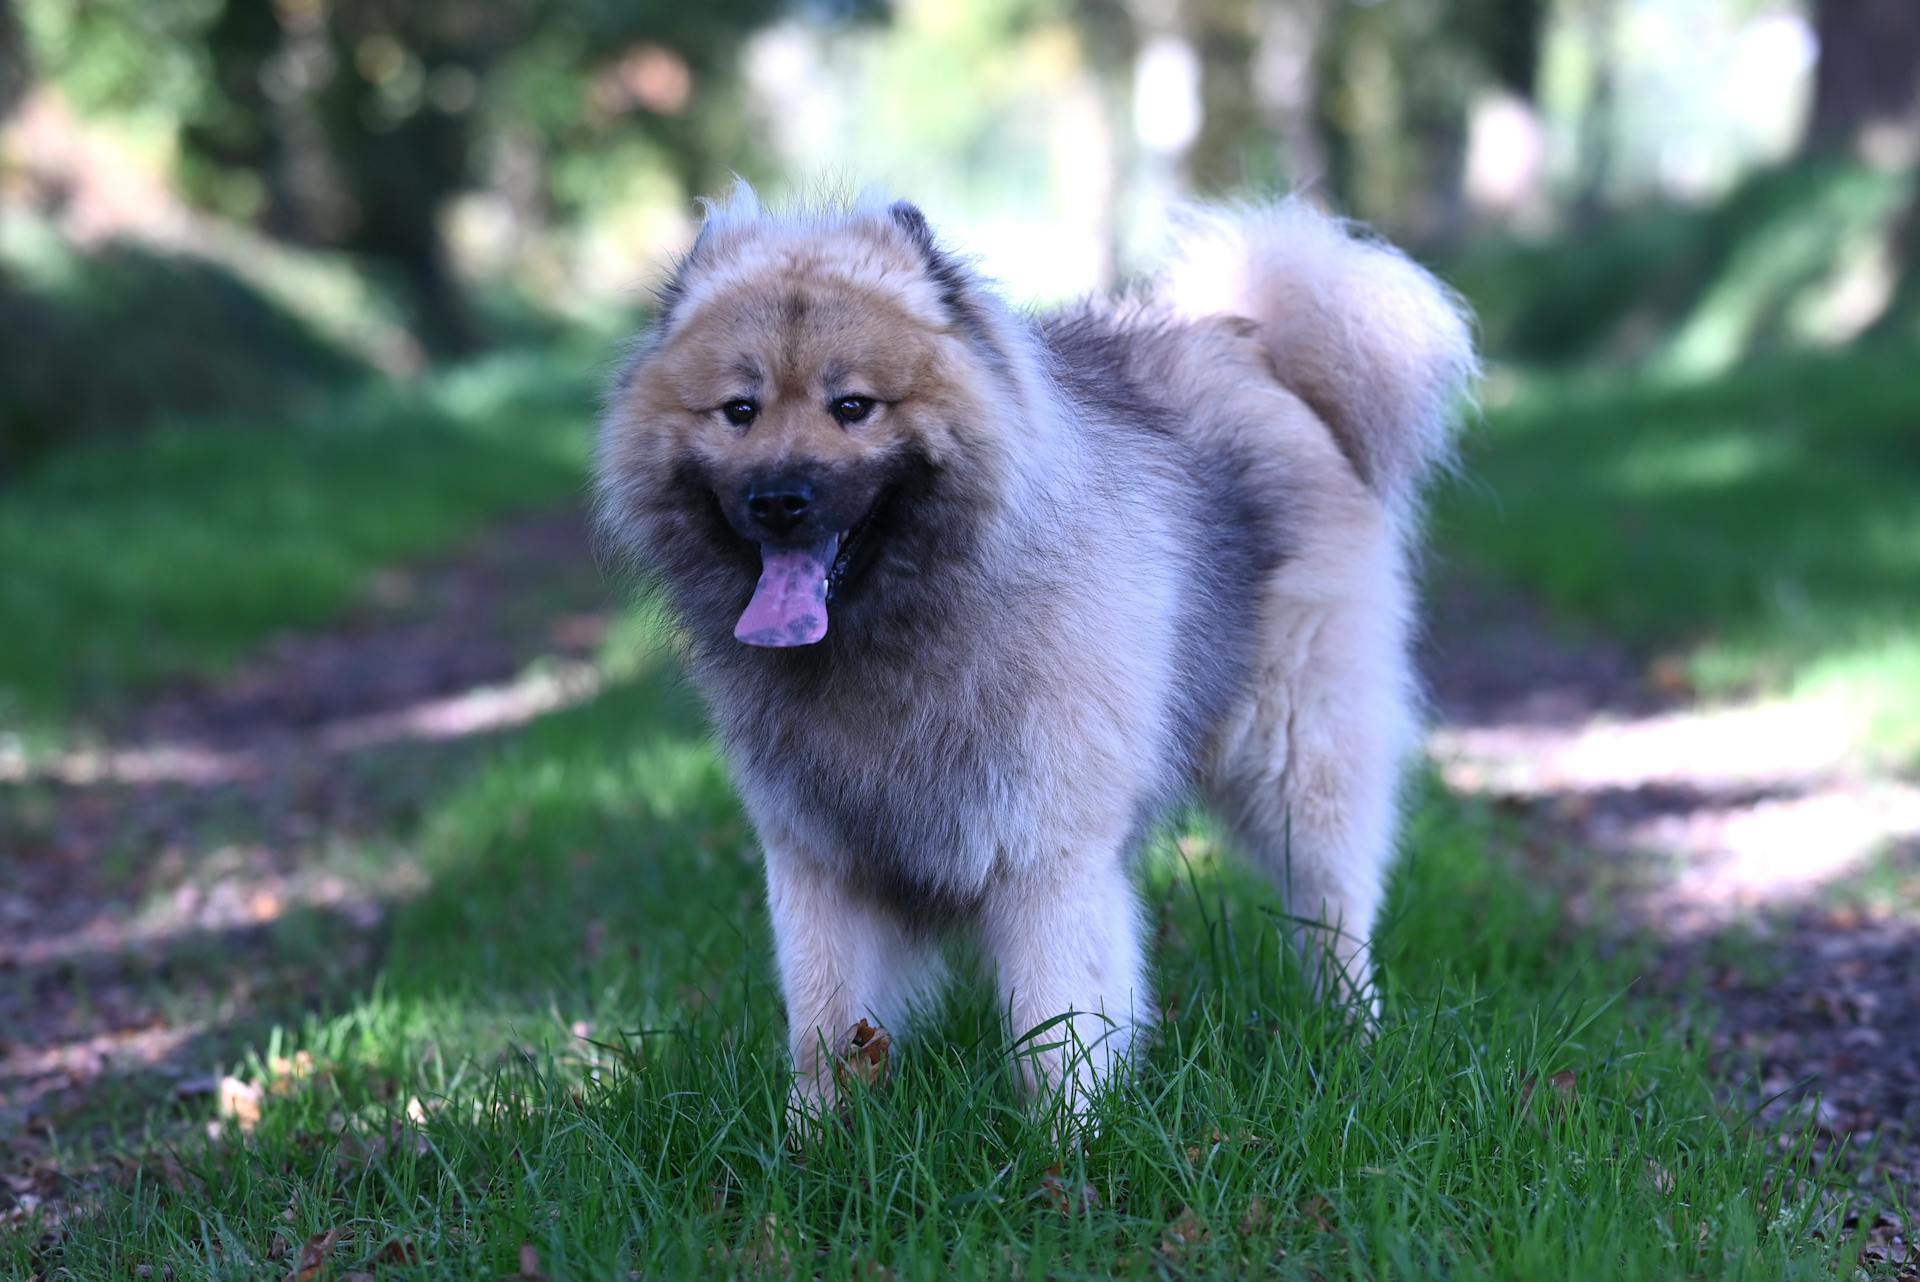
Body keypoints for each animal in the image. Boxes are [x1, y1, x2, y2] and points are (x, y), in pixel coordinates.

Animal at [591, 185, 1474, 1113]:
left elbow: (1055, 1023)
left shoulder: (1046, 854)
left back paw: (1355, 1037)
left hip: (1298, 749)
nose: (778, 500)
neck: (904, 636)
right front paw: (815, 1135)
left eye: (853, 406)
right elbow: (824, 1024)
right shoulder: (818, 858)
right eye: (740, 410)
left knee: (1335, 910)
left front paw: (1069, 1137)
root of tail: (1258, 351)